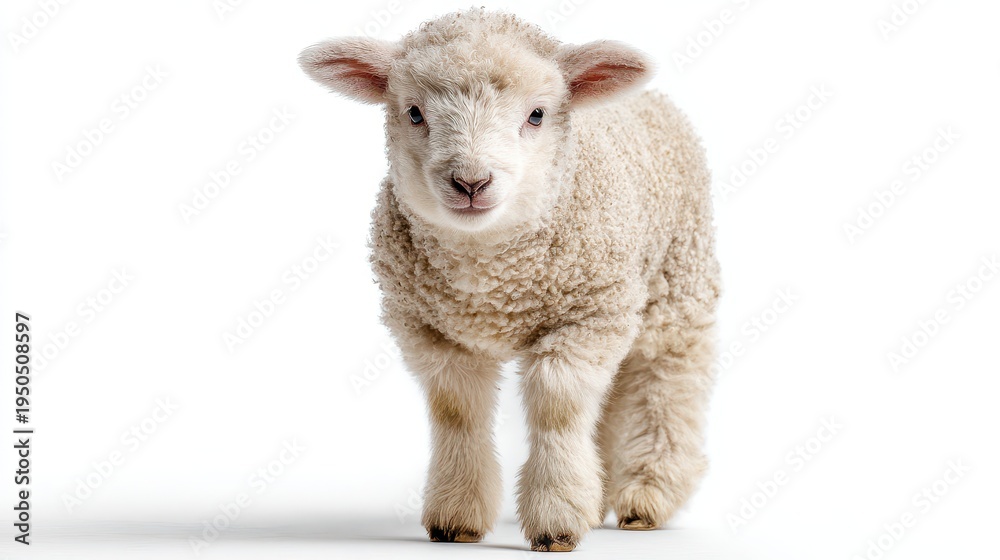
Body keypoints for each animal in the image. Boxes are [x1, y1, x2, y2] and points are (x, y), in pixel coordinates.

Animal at [299, 8, 720, 552]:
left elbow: (557, 406)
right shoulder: (433, 333)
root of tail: (652, 98)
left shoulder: (586, 317)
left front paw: (557, 519)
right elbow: (457, 410)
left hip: (675, 284)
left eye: (537, 115)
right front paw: (457, 517)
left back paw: (648, 492)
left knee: (664, 380)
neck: (491, 277)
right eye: (414, 113)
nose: (471, 183)